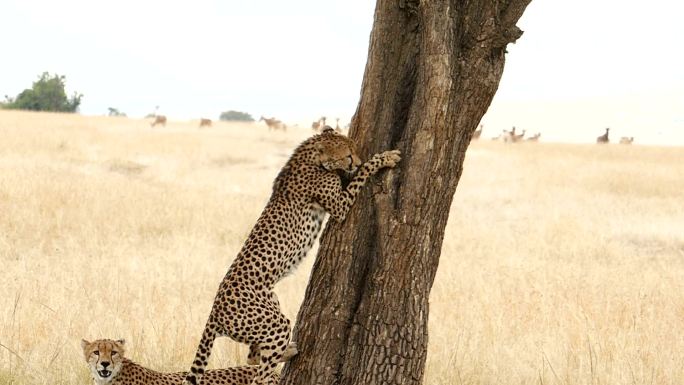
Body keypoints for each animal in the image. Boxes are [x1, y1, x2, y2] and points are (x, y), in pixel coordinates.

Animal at [184, 127, 404, 382]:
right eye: (348, 156)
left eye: (354, 150)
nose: (355, 162)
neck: (310, 156)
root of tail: (214, 313)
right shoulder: (339, 206)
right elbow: (364, 173)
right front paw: (384, 158)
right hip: (274, 323)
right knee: (260, 373)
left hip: (271, 307)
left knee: (253, 355)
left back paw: (288, 351)